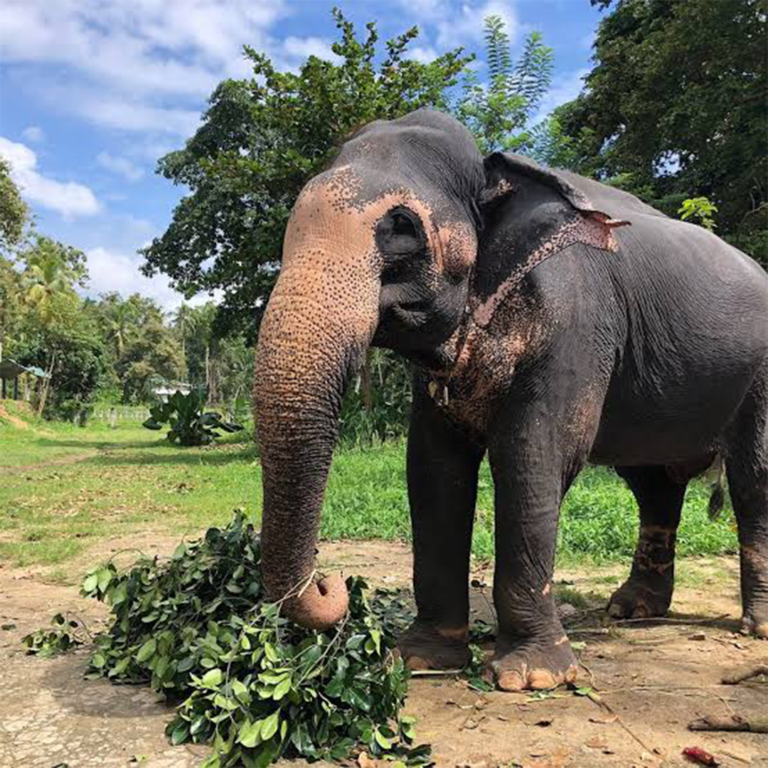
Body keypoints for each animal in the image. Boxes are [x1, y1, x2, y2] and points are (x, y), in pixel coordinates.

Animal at [253, 108, 768, 691]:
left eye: (402, 228)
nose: (333, 583)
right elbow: (433, 466)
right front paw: (420, 659)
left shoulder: (576, 319)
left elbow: (532, 455)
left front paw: (532, 677)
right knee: (653, 485)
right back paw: (632, 610)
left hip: (760, 375)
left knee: (751, 478)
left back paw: (753, 625)